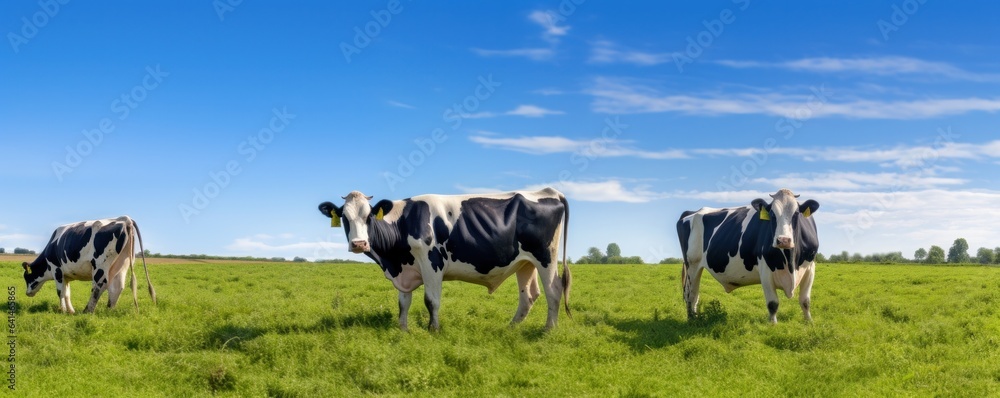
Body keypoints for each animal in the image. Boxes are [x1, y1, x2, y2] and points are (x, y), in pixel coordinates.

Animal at [21, 216, 156, 312]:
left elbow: (60, 292)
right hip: (123, 263)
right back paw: (109, 309)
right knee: (117, 286)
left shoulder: (56, 270)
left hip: (100, 264)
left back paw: (88, 310)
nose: (27, 293)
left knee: (99, 286)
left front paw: (62, 310)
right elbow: (67, 293)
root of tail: (124, 219)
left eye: (27, 277)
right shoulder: (66, 276)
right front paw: (71, 311)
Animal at [316, 188, 576, 332]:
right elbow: (403, 302)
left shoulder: (430, 262)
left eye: (369, 216)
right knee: (529, 295)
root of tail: (549, 191)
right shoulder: (405, 270)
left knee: (554, 290)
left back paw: (548, 330)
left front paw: (433, 329)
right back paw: (510, 328)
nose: (359, 244)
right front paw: (403, 330)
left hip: (545, 256)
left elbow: (431, 301)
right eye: (344, 217)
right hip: (525, 263)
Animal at [680, 189, 820, 324]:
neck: (791, 262)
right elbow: (773, 303)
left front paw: (809, 322)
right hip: (692, 264)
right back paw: (692, 319)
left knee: (693, 294)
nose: (783, 240)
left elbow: (805, 301)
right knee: (690, 294)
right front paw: (773, 324)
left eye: (796, 214)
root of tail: (693, 212)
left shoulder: (810, 268)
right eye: (772, 214)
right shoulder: (765, 270)